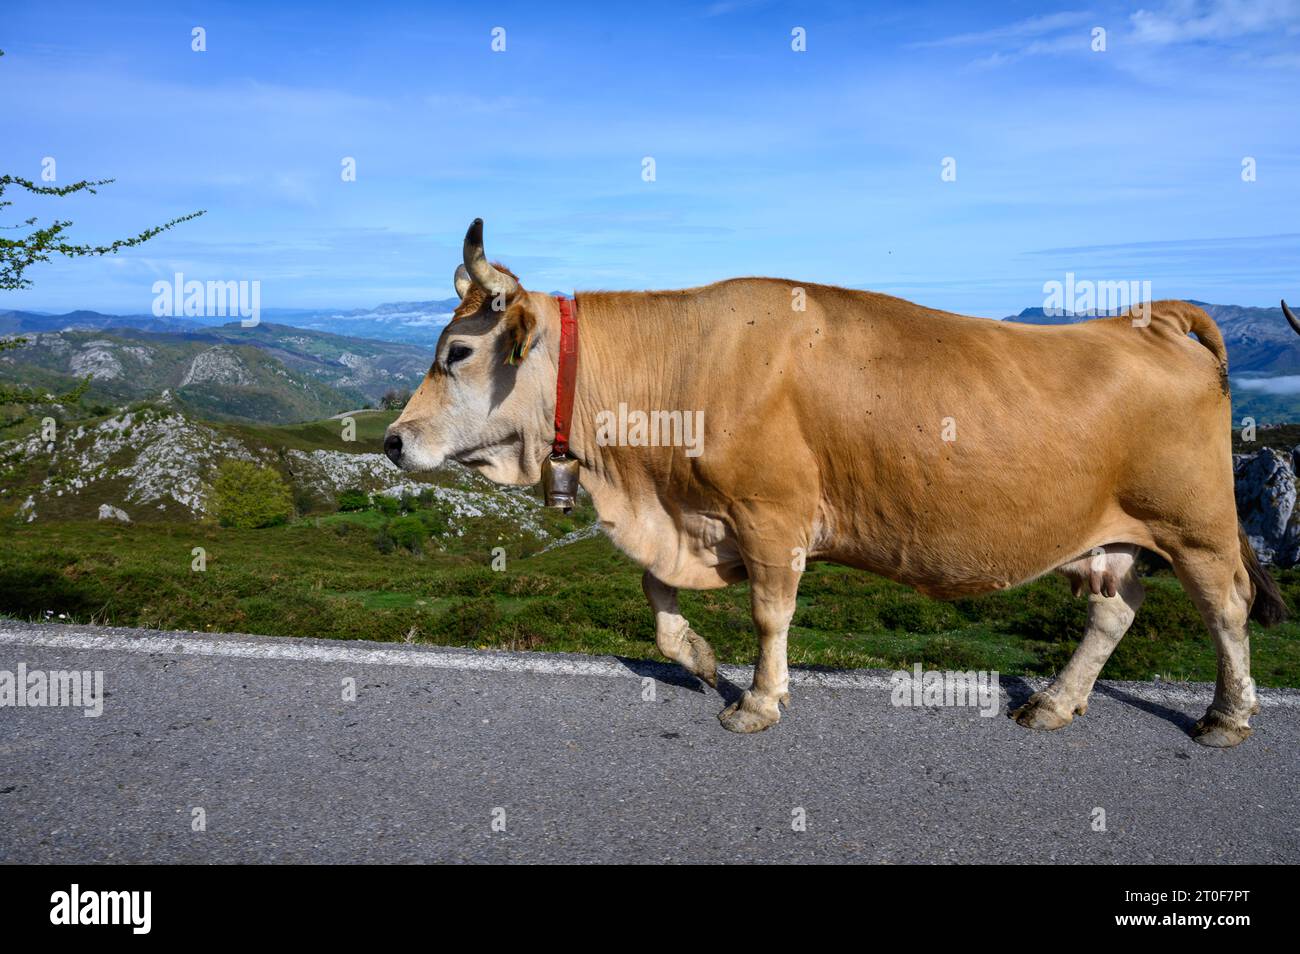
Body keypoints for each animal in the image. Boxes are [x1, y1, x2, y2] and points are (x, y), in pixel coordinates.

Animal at [385, 218, 1290, 746]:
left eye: (457, 352)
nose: (392, 442)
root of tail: (1154, 318)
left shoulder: (771, 513)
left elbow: (769, 615)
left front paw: (756, 701)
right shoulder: (687, 518)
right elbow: (657, 602)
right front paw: (702, 660)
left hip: (1198, 524)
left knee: (1226, 610)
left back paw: (1225, 716)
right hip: (1114, 532)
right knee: (1114, 610)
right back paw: (1054, 703)